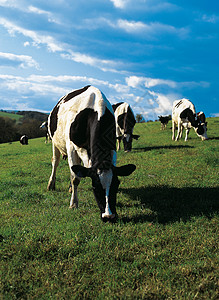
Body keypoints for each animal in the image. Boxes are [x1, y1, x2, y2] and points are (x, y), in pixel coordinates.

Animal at [47, 85, 136, 221]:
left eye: (117, 184)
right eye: (95, 186)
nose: (108, 216)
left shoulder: (112, 148)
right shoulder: (71, 148)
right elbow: (75, 178)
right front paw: (73, 204)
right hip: (55, 142)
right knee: (55, 163)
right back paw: (51, 184)